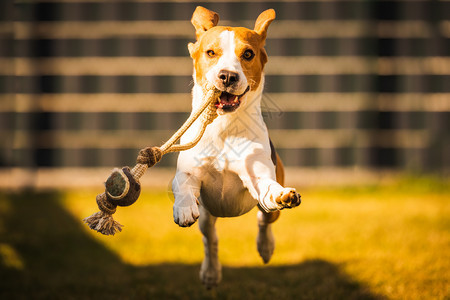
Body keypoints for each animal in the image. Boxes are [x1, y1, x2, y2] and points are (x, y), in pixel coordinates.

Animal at [172, 6, 302, 288]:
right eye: (211, 52)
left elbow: (269, 190)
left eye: (248, 54)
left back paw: (265, 246)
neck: (224, 127)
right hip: (207, 216)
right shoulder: (189, 173)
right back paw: (211, 272)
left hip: (267, 207)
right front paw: (184, 207)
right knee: (211, 239)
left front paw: (282, 196)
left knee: (264, 220)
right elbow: (184, 185)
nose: (228, 76)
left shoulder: (258, 175)